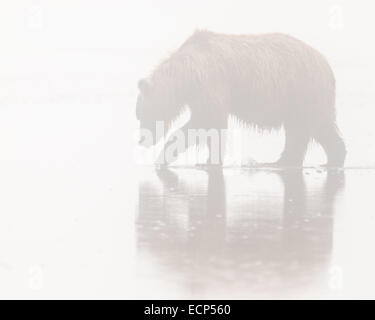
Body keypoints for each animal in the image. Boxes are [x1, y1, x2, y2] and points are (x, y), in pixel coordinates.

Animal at [137, 29, 348, 168]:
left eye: (140, 114)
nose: (141, 140)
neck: (185, 77)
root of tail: (326, 63)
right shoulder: (199, 93)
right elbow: (205, 123)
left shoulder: (211, 84)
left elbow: (207, 122)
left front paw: (204, 160)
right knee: (311, 129)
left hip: (303, 90)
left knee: (309, 128)